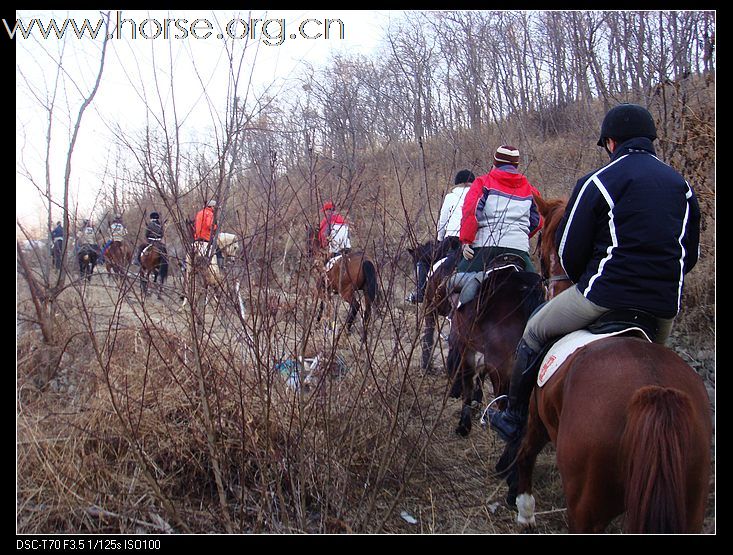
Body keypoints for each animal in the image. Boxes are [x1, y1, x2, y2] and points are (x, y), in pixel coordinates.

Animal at [446, 262, 544, 440]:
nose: (453, 392)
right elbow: (478, 379)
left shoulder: (467, 352)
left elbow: (468, 385)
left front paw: (464, 425)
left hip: (501, 373)